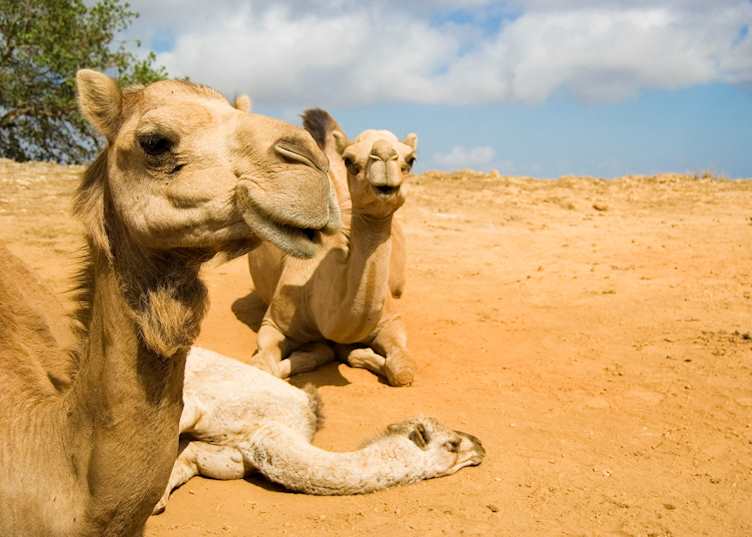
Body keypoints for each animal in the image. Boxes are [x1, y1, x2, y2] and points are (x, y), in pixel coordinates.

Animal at [247, 109, 418, 386]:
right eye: (350, 160)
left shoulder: (391, 319)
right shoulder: (274, 323)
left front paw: (358, 352)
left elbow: (402, 370)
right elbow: (263, 367)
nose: (383, 154)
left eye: (410, 160)